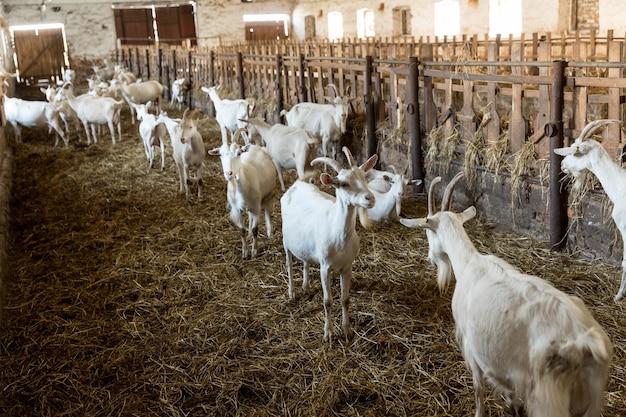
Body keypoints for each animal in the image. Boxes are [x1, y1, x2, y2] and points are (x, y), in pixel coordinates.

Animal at [207, 128, 276, 258]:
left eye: (239, 153)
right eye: (220, 155)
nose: (229, 173)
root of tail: (254, 146)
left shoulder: (256, 207)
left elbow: (255, 229)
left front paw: (254, 251)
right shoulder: (237, 209)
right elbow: (241, 230)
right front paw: (245, 252)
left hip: (268, 194)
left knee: (267, 210)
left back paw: (269, 232)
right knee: (249, 215)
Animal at [282, 146, 376, 342]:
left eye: (364, 177)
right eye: (344, 184)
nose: (370, 198)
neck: (339, 235)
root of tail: (297, 184)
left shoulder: (347, 266)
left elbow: (345, 299)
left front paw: (347, 331)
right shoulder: (325, 267)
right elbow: (327, 301)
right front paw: (329, 334)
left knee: (305, 261)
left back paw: (306, 287)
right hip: (285, 240)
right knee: (289, 263)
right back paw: (292, 293)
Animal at [400, 171, 608, 414]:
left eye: (427, 232)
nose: (430, 258)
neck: (469, 261)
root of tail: (584, 341)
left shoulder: (470, 345)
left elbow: (478, 387)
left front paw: (478, 412)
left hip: (548, 398)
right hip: (593, 396)